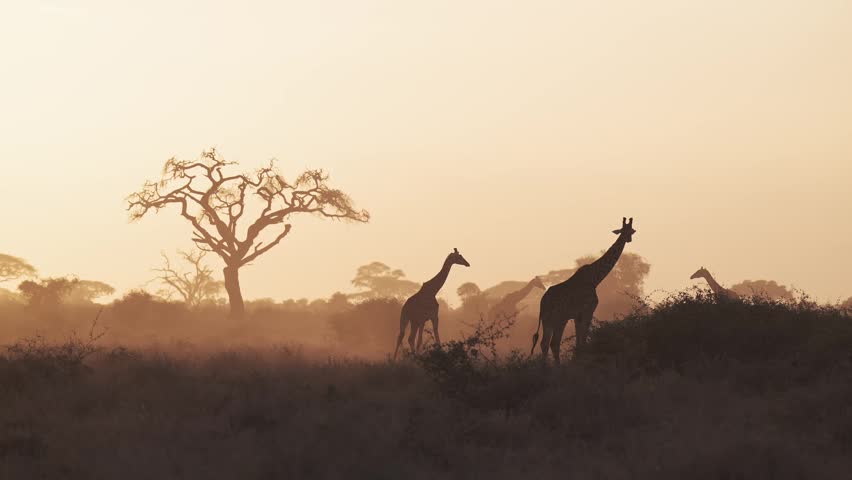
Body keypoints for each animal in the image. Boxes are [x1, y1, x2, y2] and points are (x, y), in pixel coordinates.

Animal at [532, 217, 636, 364]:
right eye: (630, 230)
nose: (629, 239)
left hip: (548, 321)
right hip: (560, 319)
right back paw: (557, 366)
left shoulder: (578, 315)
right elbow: (584, 339)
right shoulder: (588, 310)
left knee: (544, 343)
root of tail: (542, 304)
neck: (595, 278)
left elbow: (579, 341)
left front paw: (577, 358)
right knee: (553, 343)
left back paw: (545, 366)